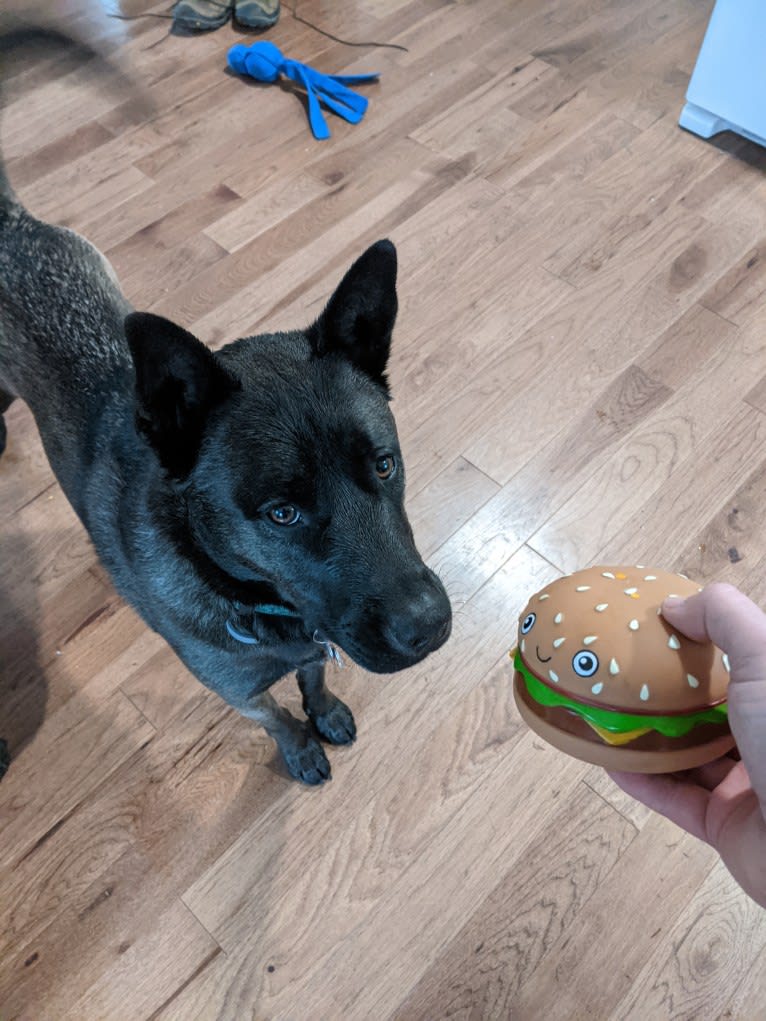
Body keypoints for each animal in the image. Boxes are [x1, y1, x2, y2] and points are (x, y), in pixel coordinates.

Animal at [0, 29, 449, 780]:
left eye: (385, 466)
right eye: (282, 513)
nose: (431, 626)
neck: (252, 598)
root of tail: (10, 226)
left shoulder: (311, 647)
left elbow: (313, 676)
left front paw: (324, 710)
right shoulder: (236, 690)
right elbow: (275, 717)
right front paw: (298, 745)